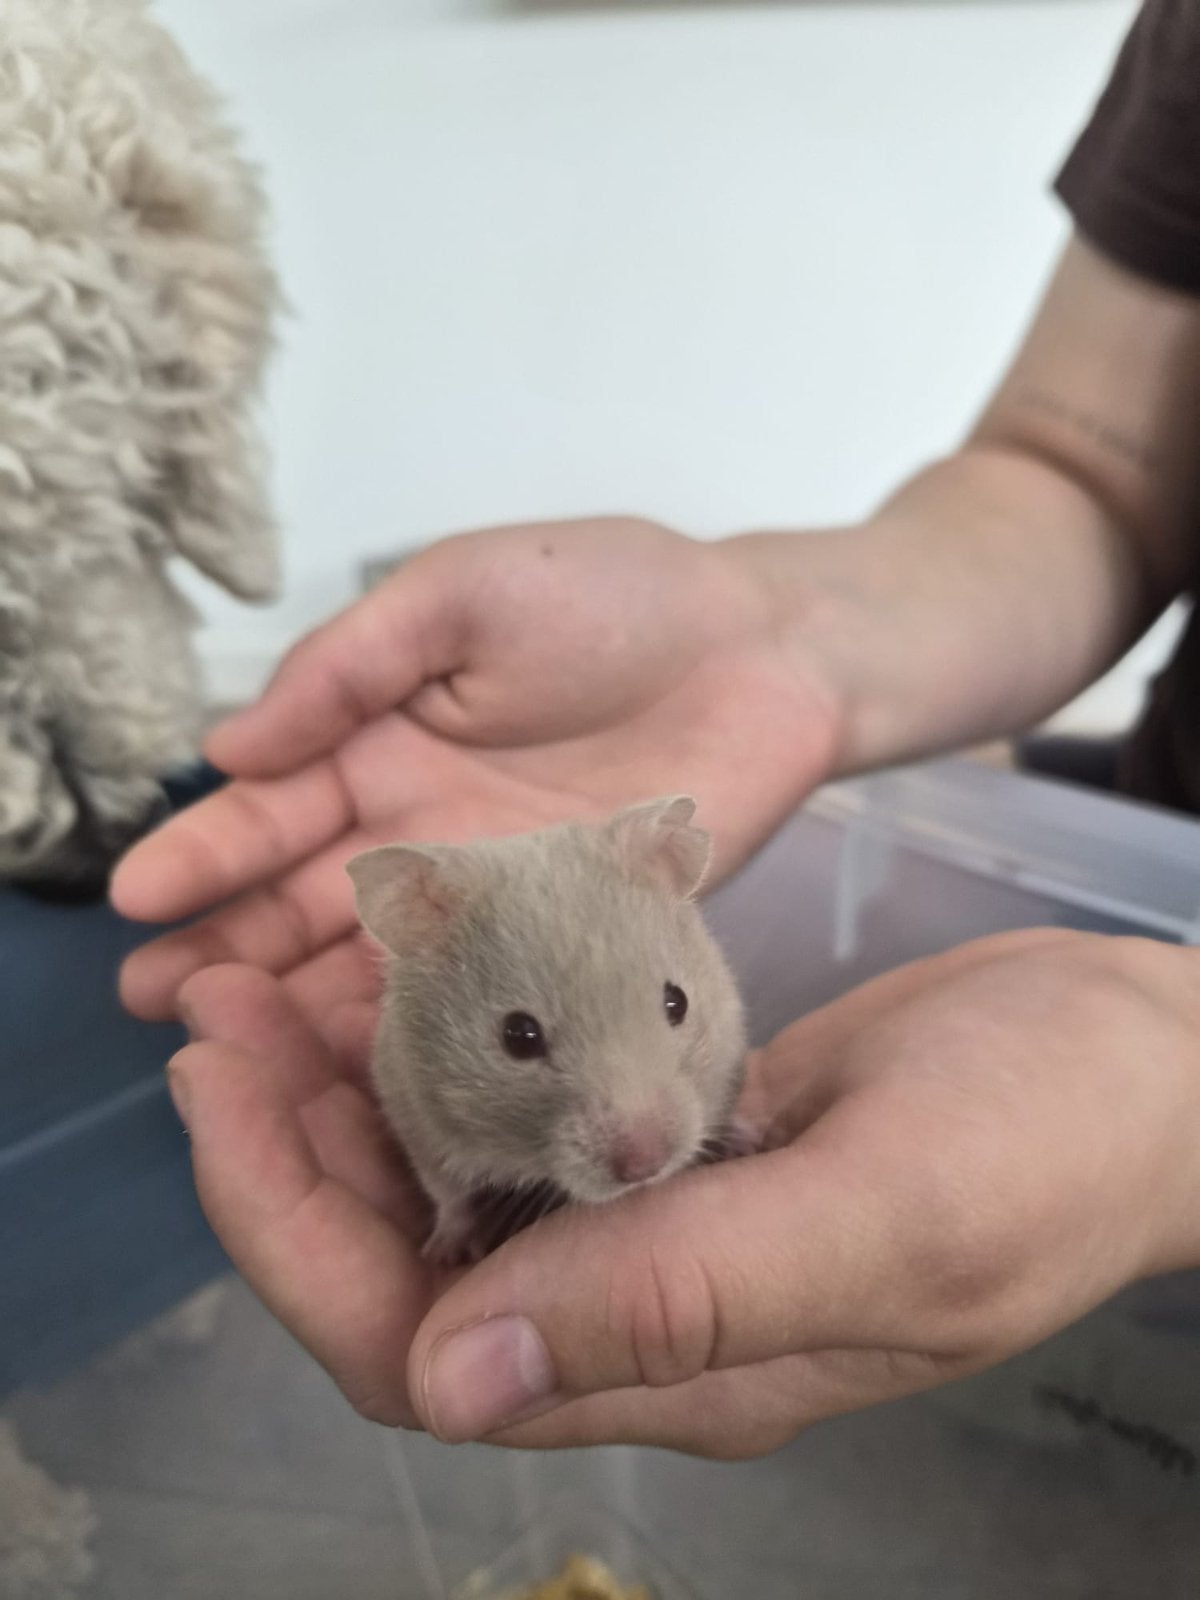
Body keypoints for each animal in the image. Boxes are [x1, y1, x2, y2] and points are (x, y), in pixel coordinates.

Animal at [346, 795, 749, 1265]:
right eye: (518, 1036)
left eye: (677, 1002)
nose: (646, 1168)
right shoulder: (417, 1118)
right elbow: (448, 1194)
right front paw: (449, 1254)